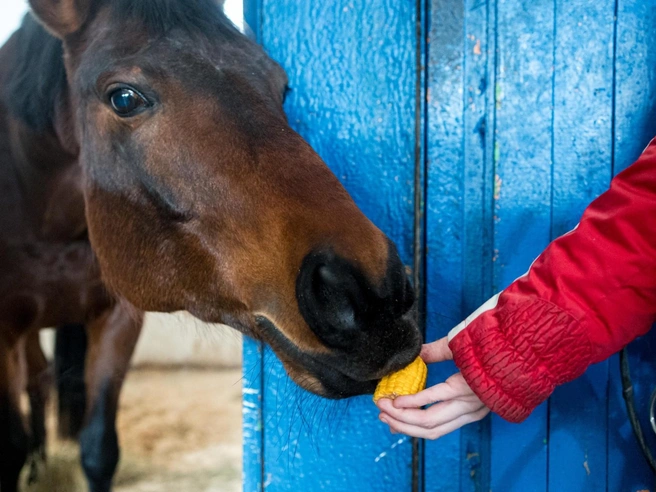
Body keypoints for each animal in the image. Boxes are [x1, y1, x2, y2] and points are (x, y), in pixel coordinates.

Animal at [0, 0, 422, 490]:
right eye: (123, 98)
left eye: (281, 86)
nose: (374, 294)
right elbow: (9, 448)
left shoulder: (120, 319)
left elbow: (98, 448)